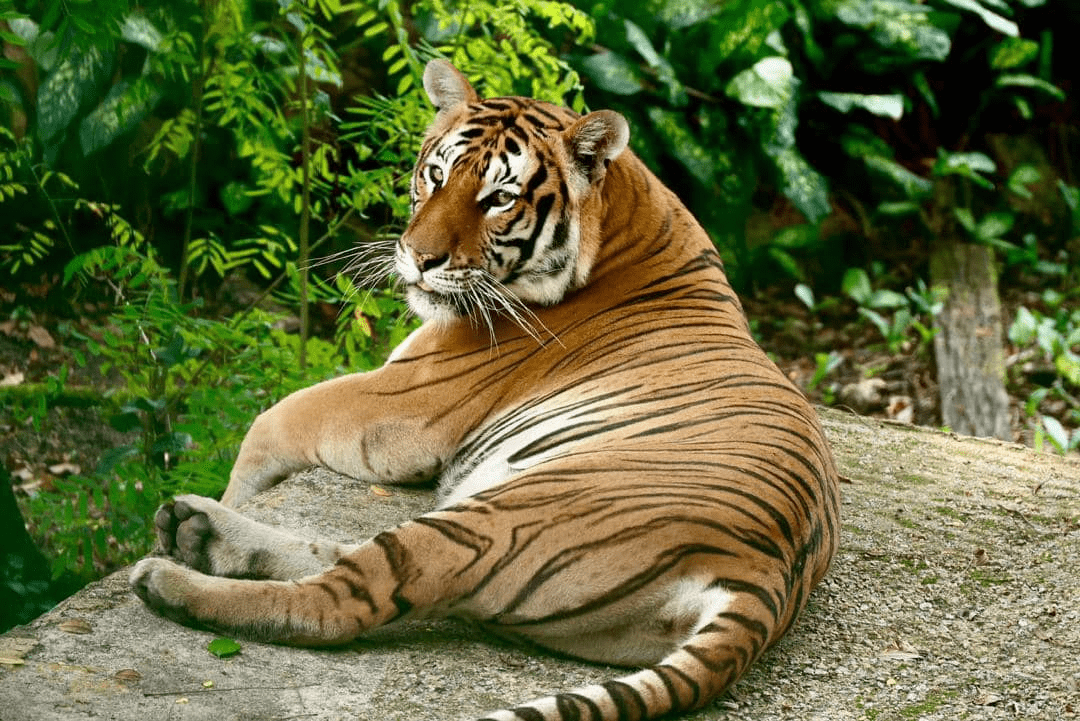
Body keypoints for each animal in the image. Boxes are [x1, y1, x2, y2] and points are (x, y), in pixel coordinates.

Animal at [130, 60, 842, 721]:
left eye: (499, 198)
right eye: (437, 175)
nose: (419, 259)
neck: (626, 215)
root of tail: (764, 580)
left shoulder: (397, 403)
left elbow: (270, 423)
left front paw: (232, 491)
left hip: (503, 515)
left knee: (341, 599)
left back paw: (169, 577)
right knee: (342, 556)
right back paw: (195, 530)